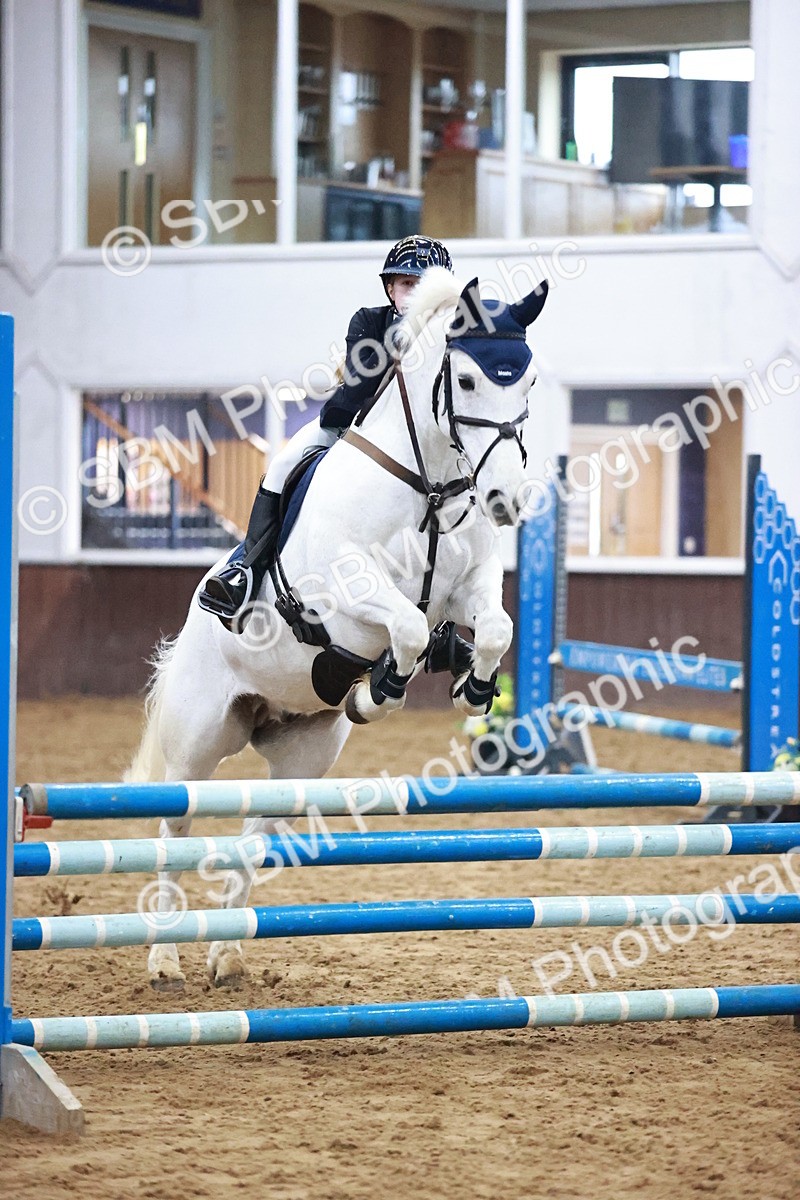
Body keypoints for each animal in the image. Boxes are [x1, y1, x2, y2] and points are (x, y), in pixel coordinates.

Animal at [126, 267, 549, 991]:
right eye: (466, 381)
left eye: (529, 381)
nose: (508, 500)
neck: (428, 485)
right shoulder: (344, 593)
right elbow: (406, 628)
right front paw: (380, 690)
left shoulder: (469, 587)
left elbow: (494, 628)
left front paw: (470, 687)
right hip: (198, 742)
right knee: (173, 828)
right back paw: (163, 958)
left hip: (302, 756)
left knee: (254, 836)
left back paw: (228, 957)